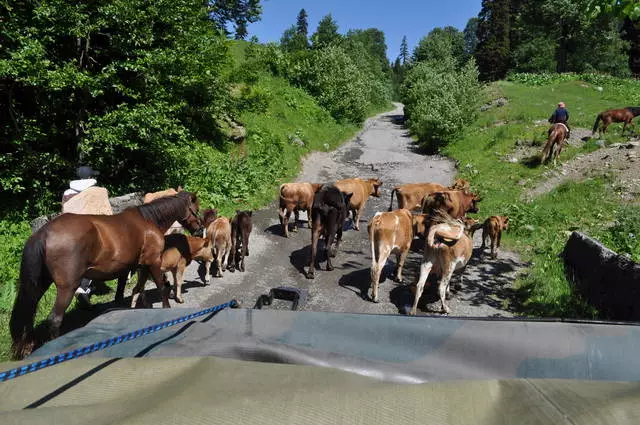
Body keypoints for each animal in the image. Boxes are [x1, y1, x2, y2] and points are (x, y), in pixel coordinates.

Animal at [8, 190, 201, 358]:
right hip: (67, 288)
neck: (147, 221)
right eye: (196, 209)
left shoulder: (130, 268)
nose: (199, 230)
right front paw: (166, 308)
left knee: (28, 314)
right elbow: (160, 287)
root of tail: (44, 233)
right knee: (54, 319)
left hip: (39, 284)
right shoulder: (153, 262)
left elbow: (130, 292)